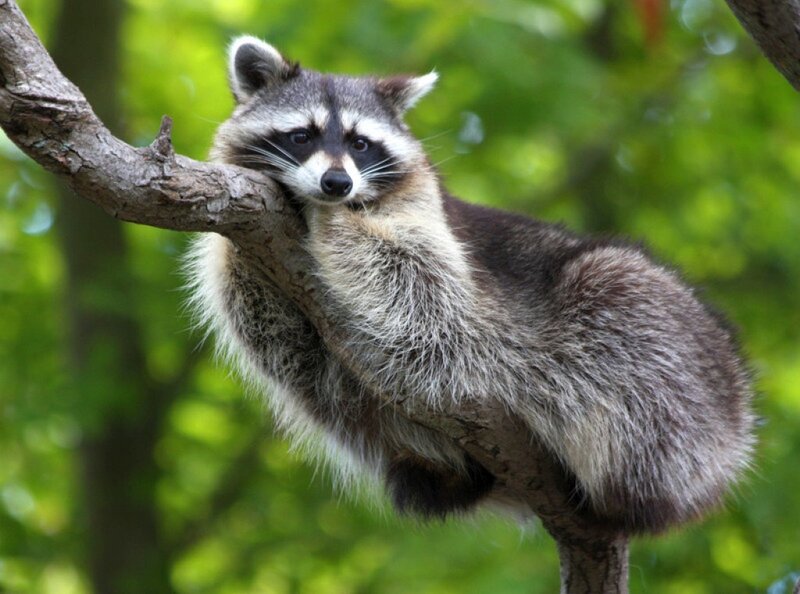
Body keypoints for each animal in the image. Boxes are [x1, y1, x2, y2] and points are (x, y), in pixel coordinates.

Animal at [186, 36, 755, 533]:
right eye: (301, 135)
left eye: (361, 143)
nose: (336, 184)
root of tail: (733, 428)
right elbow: (280, 334)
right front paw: (242, 256)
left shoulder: (435, 232)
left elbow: (421, 291)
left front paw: (337, 221)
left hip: (675, 381)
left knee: (615, 293)